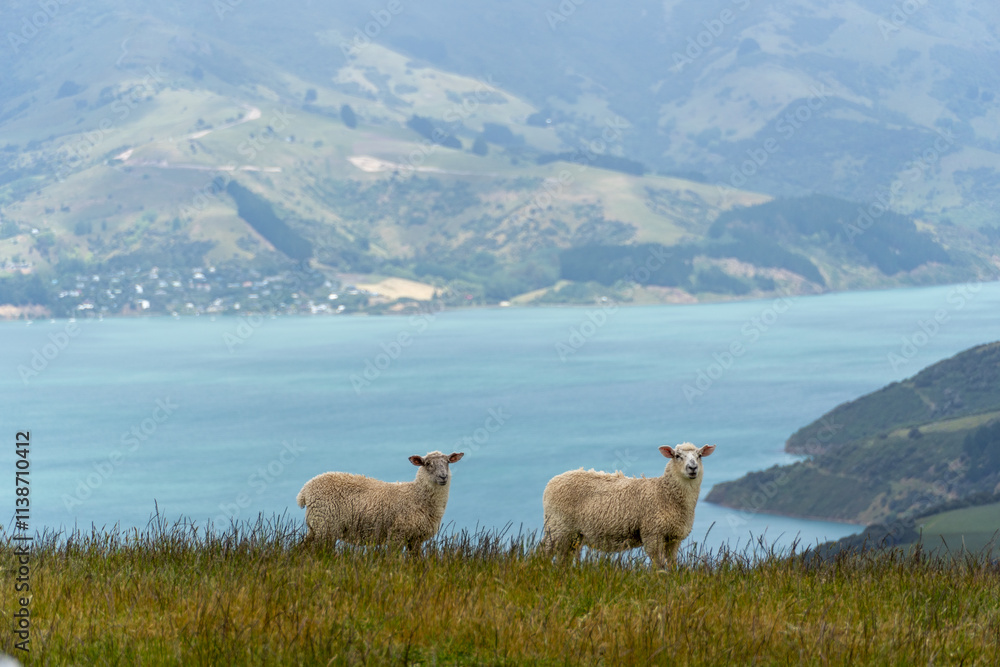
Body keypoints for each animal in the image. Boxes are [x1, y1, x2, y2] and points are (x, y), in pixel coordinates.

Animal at [296, 450, 464, 551]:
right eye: (428, 464)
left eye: (447, 462)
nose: (443, 476)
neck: (416, 495)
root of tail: (305, 491)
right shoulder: (397, 533)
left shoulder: (416, 539)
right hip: (326, 526)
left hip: (316, 527)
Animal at [541, 443, 715, 568]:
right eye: (677, 456)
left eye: (699, 455)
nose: (693, 468)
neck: (664, 493)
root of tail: (552, 481)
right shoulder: (652, 533)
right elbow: (658, 564)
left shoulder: (673, 537)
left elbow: (672, 563)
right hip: (557, 526)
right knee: (545, 552)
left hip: (573, 535)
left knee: (563, 559)